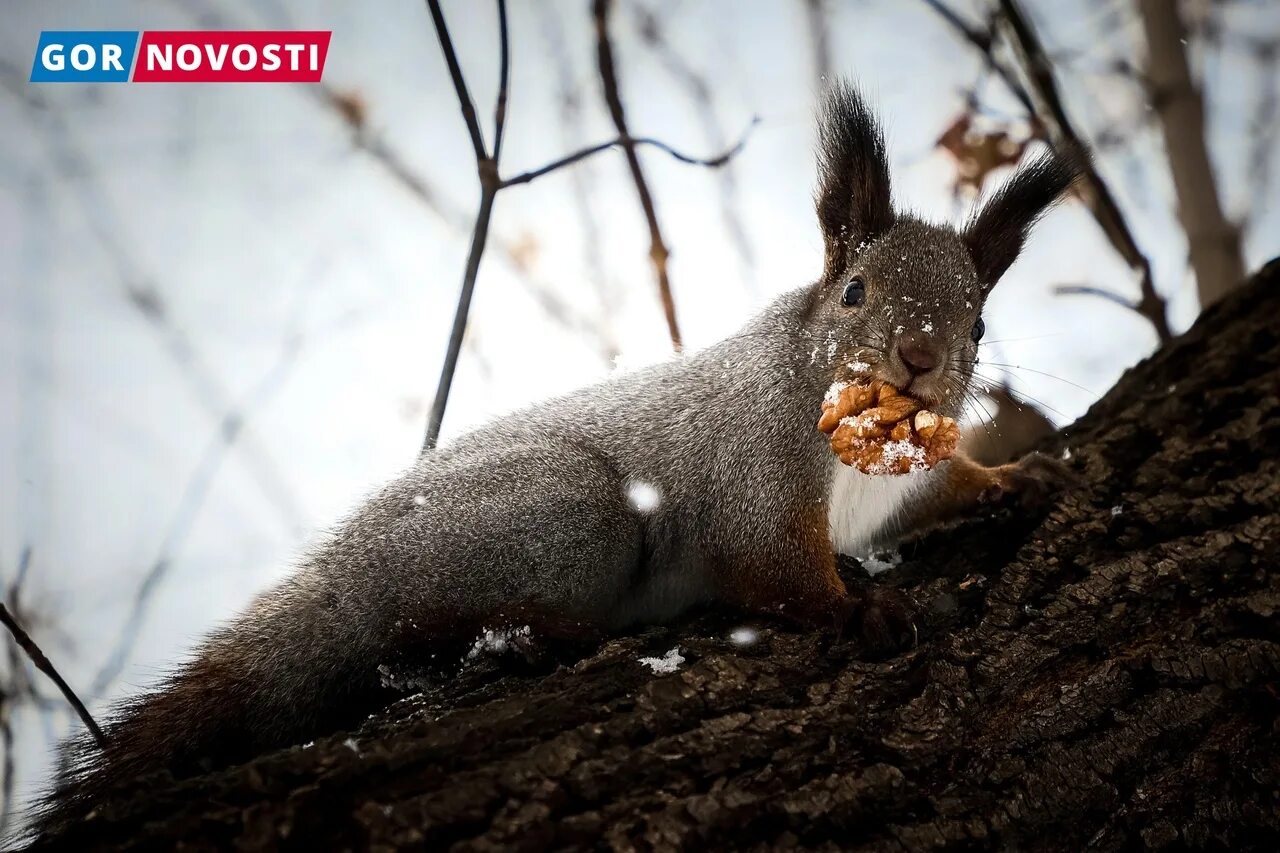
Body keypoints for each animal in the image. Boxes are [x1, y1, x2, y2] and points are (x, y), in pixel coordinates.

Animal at [35, 84, 1080, 829]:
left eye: (979, 324)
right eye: (855, 291)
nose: (921, 360)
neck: (863, 447)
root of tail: (342, 576)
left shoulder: (905, 485)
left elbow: (944, 488)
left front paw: (1016, 478)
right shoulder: (756, 471)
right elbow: (773, 566)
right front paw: (859, 609)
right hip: (573, 515)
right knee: (416, 634)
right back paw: (536, 635)